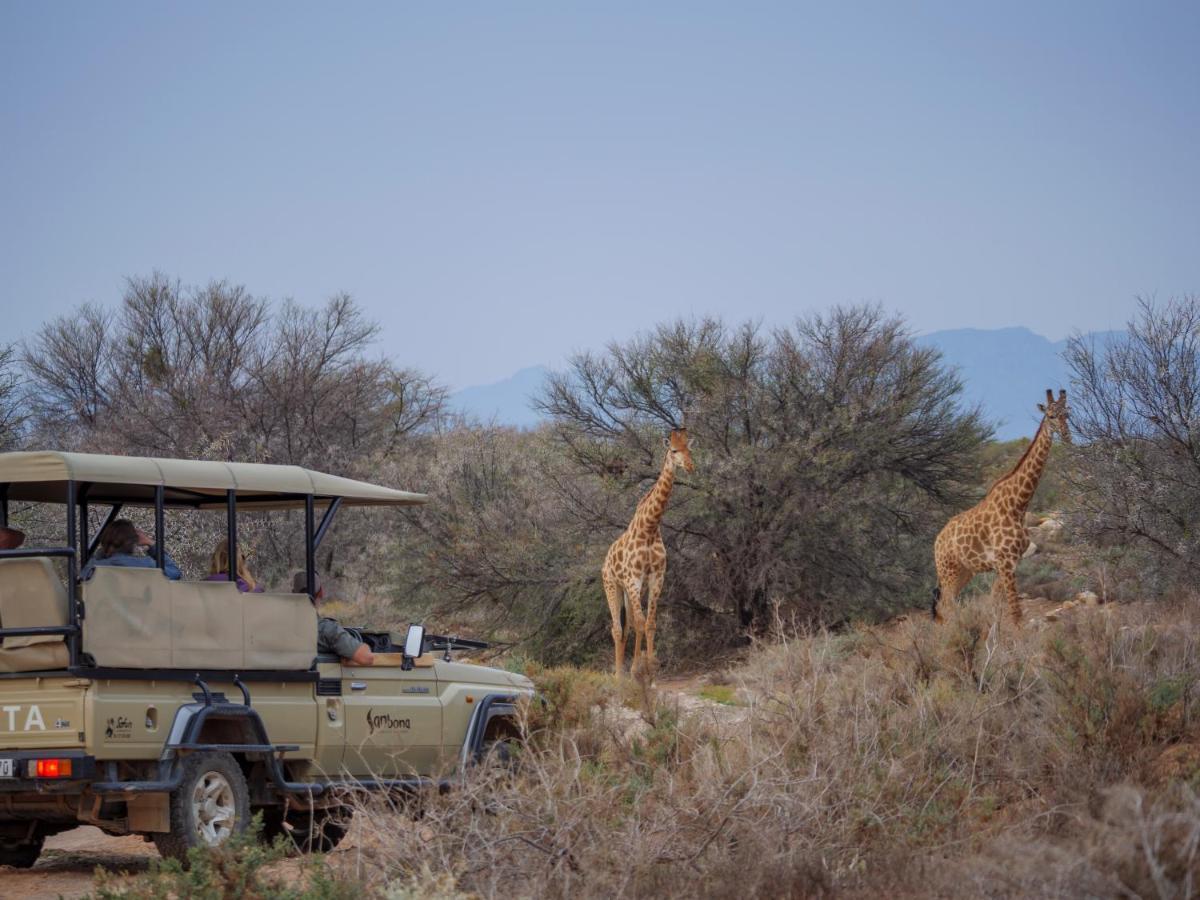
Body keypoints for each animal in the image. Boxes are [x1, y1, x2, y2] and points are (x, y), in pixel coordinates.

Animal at [600, 427, 696, 676]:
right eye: (673, 450)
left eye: (689, 449)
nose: (690, 466)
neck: (650, 527)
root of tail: (605, 561)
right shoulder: (633, 578)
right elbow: (642, 622)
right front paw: (639, 669)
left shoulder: (656, 577)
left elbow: (649, 623)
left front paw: (650, 667)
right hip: (612, 585)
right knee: (616, 628)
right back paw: (618, 675)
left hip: (628, 589)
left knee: (629, 626)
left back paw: (628, 669)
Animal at [931, 388, 1075, 628]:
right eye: (1051, 416)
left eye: (1067, 415)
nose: (1066, 437)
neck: (1018, 505)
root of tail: (937, 541)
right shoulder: (1006, 562)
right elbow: (1016, 614)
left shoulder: (1010, 563)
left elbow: (996, 608)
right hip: (948, 570)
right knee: (945, 607)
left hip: (964, 571)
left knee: (944, 609)